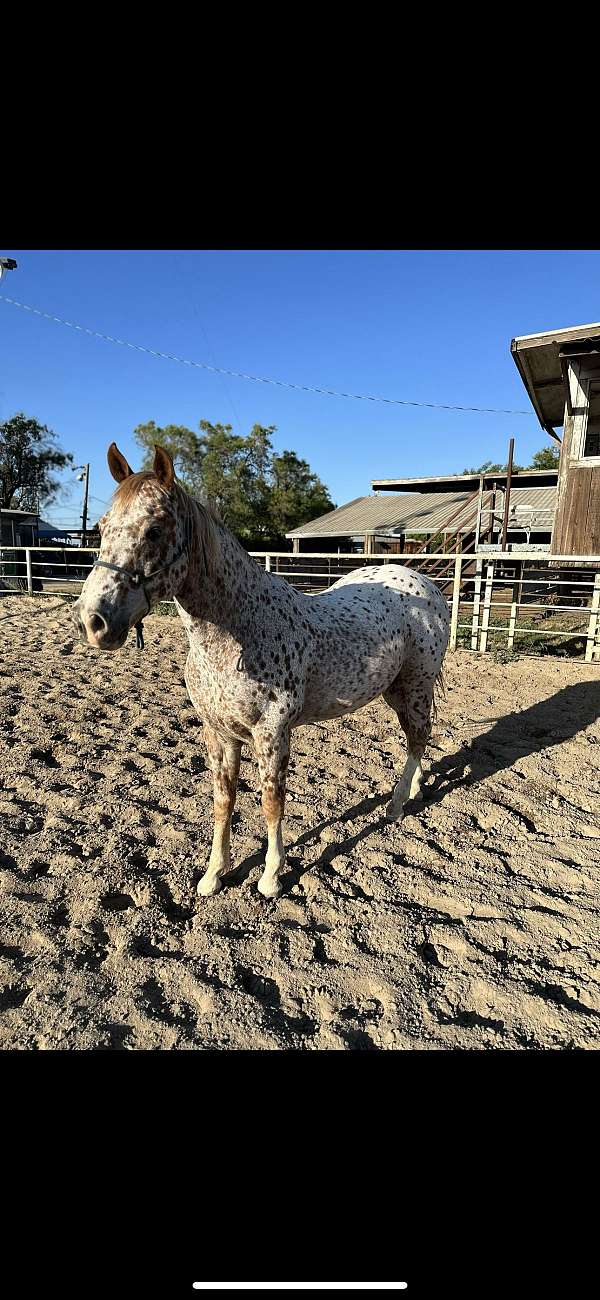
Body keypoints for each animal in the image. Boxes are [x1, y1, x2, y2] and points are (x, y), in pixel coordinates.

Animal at [72, 441, 449, 899]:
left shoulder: (272, 734)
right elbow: (224, 800)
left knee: (418, 739)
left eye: (155, 530)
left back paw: (395, 805)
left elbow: (272, 802)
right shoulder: (219, 733)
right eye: (102, 528)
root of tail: (423, 584)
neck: (240, 632)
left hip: (415, 687)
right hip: (396, 691)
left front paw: (271, 876)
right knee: (418, 743)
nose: (93, 621)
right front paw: (214, 874)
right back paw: (413, 789)